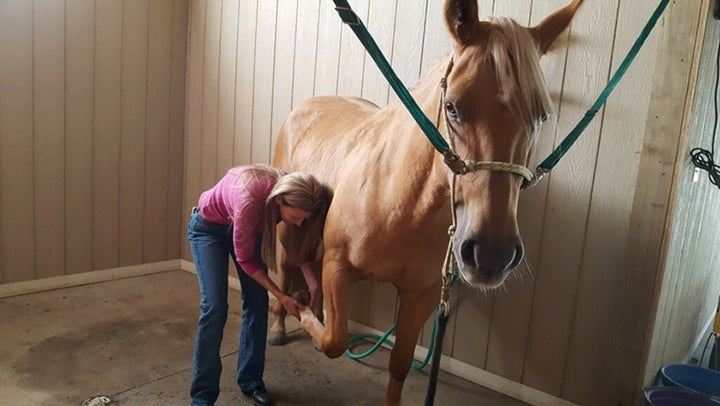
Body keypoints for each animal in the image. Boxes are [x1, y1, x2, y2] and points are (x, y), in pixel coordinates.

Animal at [272, 0, 584, 402]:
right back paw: (280, 326)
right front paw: (306, 317)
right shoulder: (340, 267)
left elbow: (400, 364)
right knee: (284, 268)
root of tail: (307, 107)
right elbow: (335, 341)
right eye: (452, 107)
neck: (401, 202)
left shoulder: (421, 294)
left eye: (541, 116)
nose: (491, 253)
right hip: (285, 231)